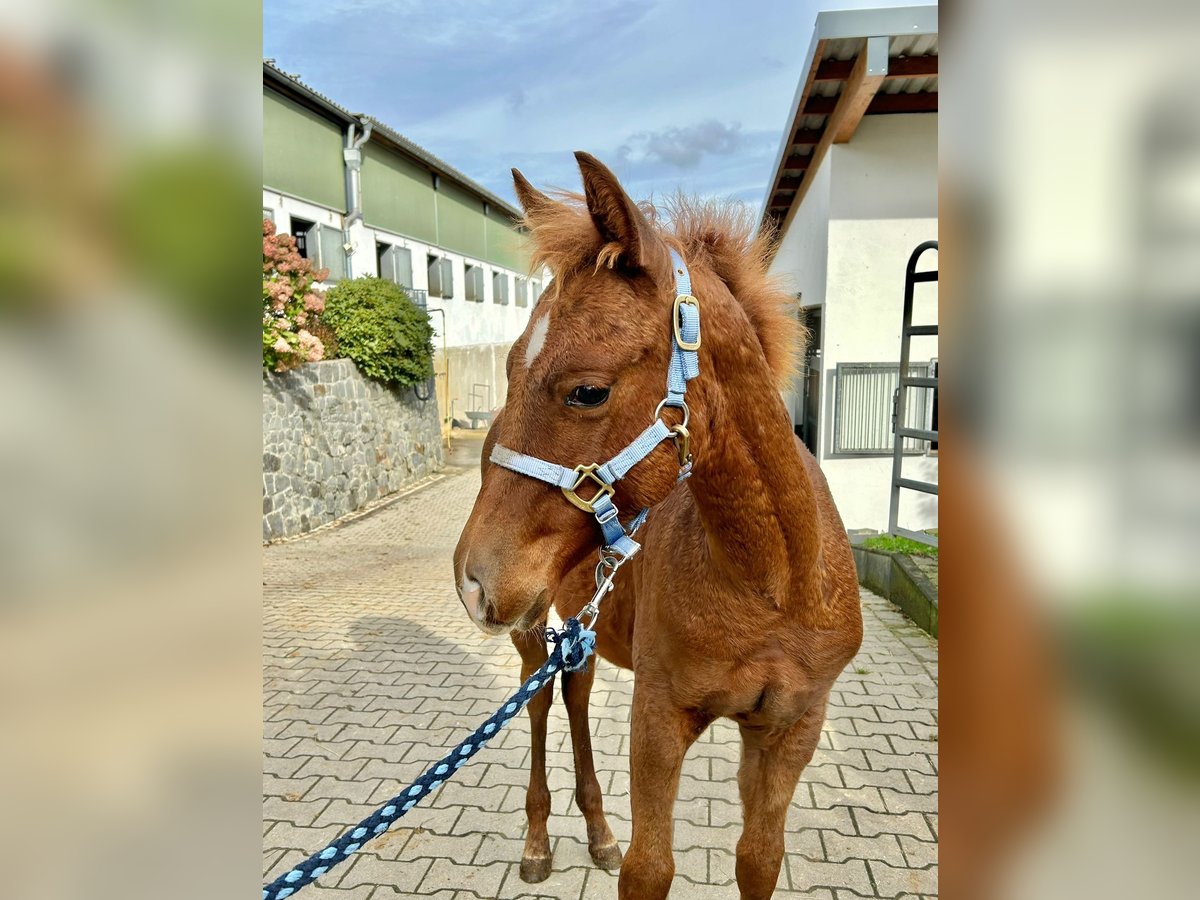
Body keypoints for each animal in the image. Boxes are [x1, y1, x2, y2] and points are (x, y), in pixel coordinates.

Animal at [451, 154, 864, 900]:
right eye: (509, 368)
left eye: (588, 390)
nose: (471, 581)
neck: (771, 582)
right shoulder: (658, 716)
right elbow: (650, 869)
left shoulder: (791, 728)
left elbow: (759, 860)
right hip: (532, 617)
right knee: (540, 697)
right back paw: (538, 842)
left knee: (576, 683)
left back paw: (597, 830)